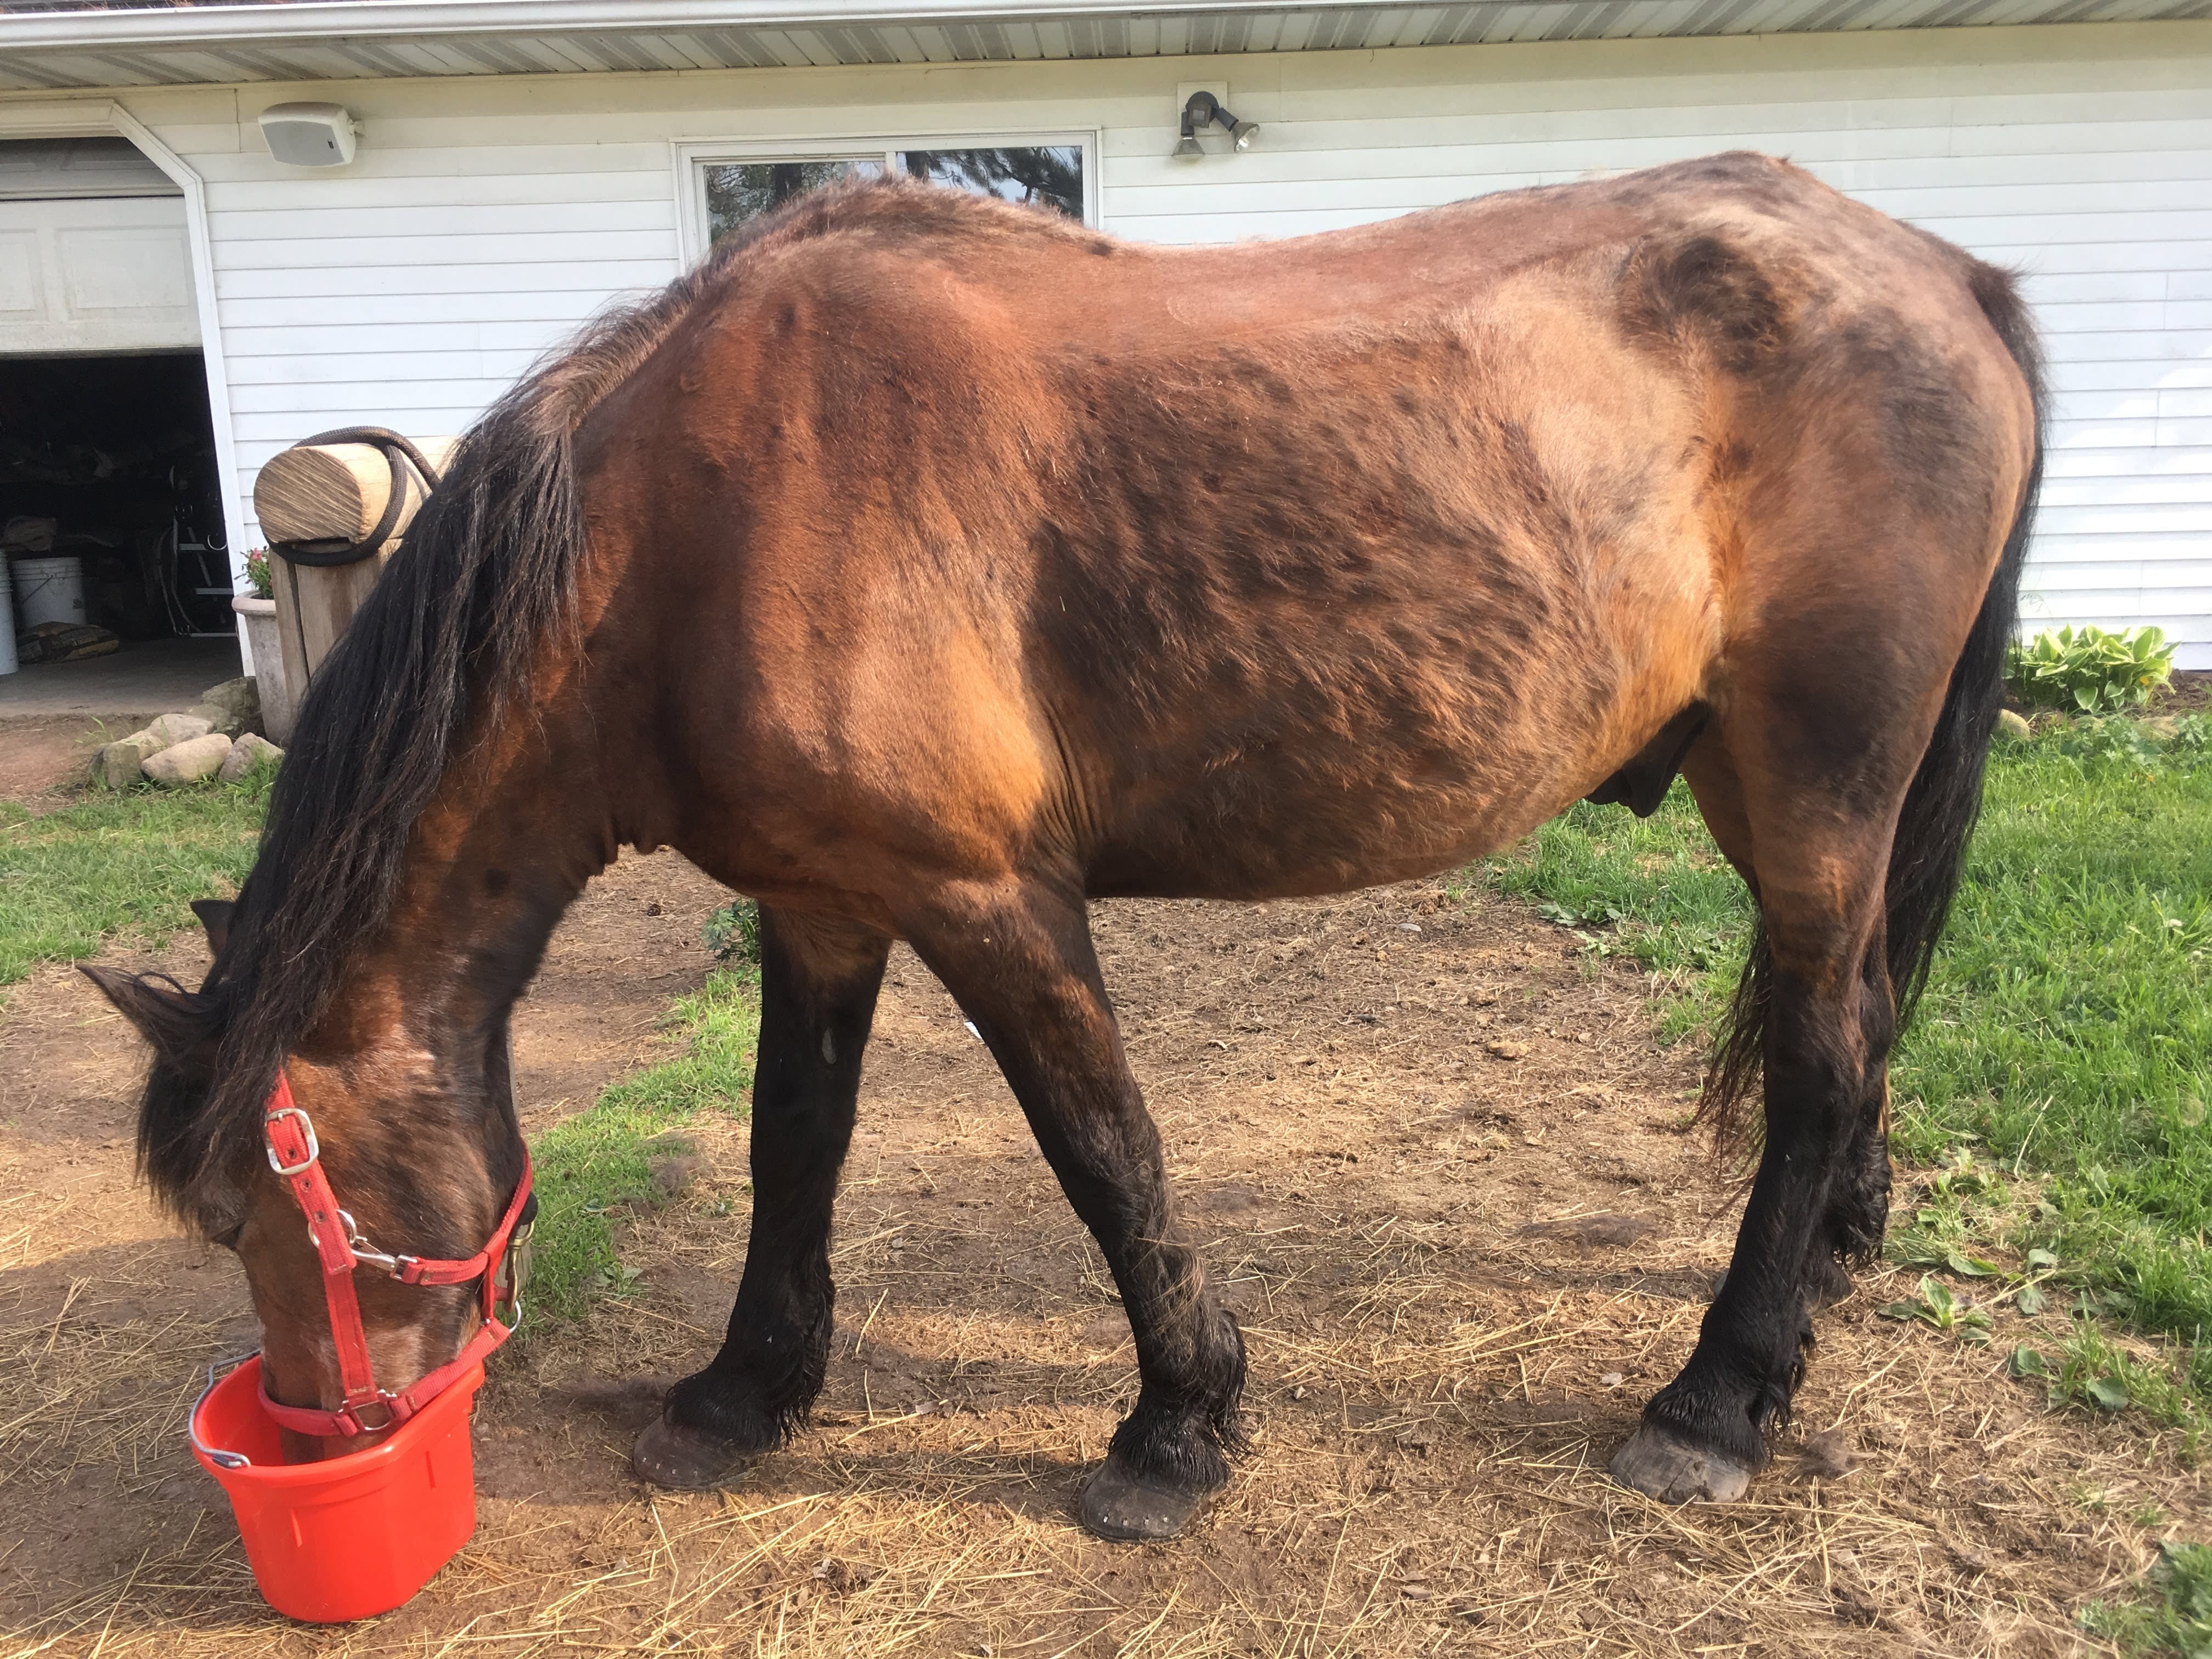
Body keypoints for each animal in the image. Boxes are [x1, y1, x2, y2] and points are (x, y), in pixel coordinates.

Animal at [86, 156, 2035, 1548]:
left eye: (269, 1210)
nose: (321, 1436)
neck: (693, 520)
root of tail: (1947, 274)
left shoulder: (991, 902)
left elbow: (1106, 1155)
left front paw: (1174, 1431)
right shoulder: (822, 906)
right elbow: (794, 1146)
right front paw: (741, 1394)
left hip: (1814, 782)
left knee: (1823, 1046)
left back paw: (1713, 1401)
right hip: (1780, 802)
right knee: (1860, 1020)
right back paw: (1827, 1266)